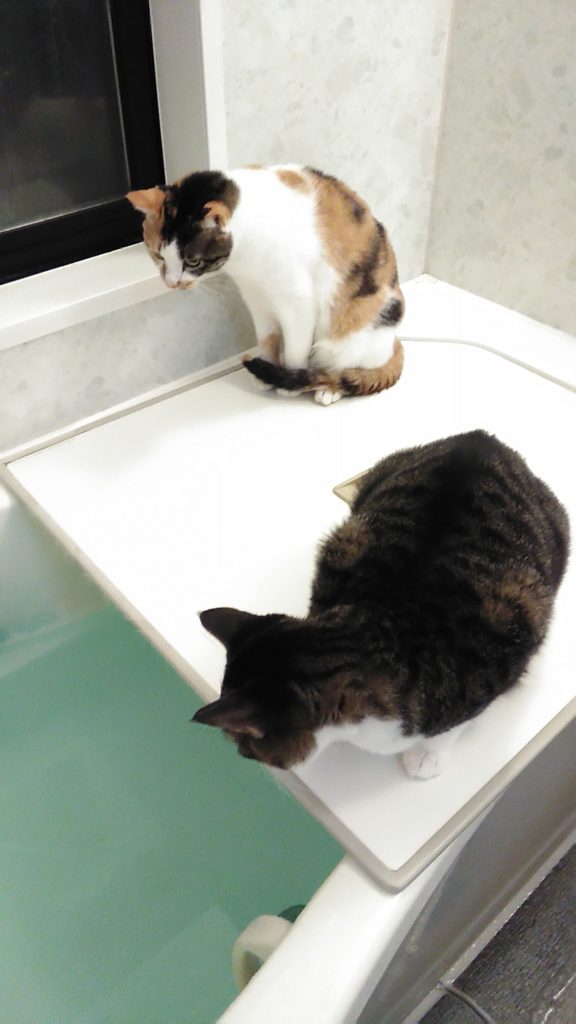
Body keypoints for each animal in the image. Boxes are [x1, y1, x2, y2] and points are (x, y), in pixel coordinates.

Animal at [126, 165, 404, 406]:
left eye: (192, 261)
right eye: (158, 256)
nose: (171, 284)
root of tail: (393, 343)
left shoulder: (298, 303)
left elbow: (295, 348)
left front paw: (288, 383)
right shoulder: (256, 298)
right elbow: (267, 338)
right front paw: (266, 375)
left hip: (350, 328)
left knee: (347, 366)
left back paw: (327, 388)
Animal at [192, 431, 569, 779]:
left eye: (243, 742)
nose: (241, 754)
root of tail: (479, 437)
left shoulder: (496, 661)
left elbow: (455, 725)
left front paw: (427, 756)